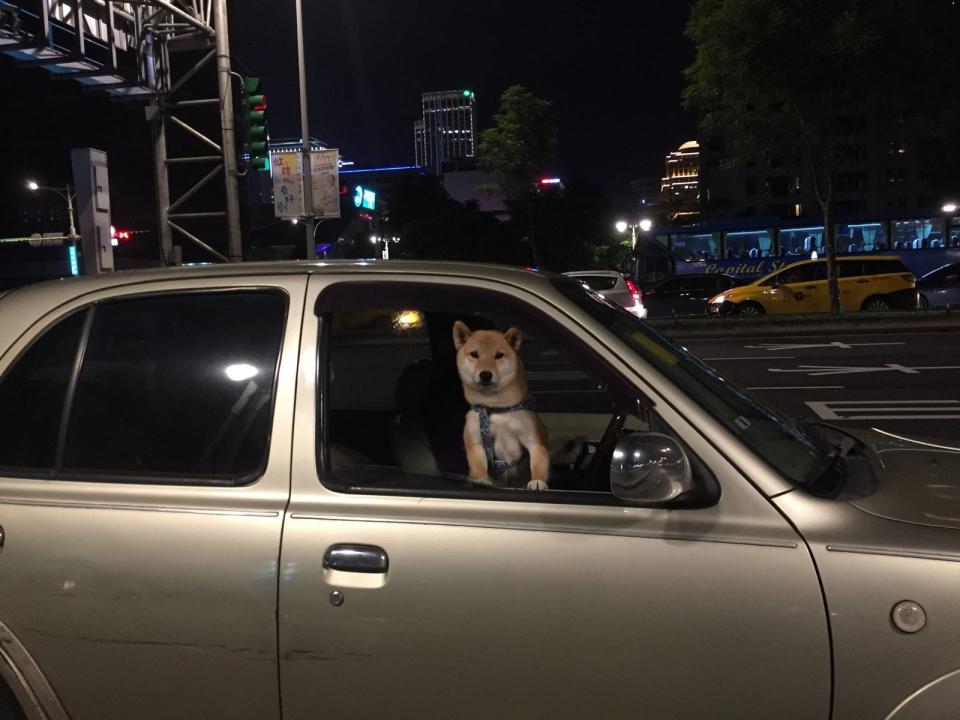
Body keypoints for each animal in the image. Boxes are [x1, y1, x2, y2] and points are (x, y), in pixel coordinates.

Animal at [450, 320, 548, 490]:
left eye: (499, 355)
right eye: (474, 354)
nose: (485, 374)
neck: (496, 408)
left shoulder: (534, 441)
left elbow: (538, 463)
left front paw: (537, 480)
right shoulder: (475, 440)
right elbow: (478, 464)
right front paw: (480, 479)